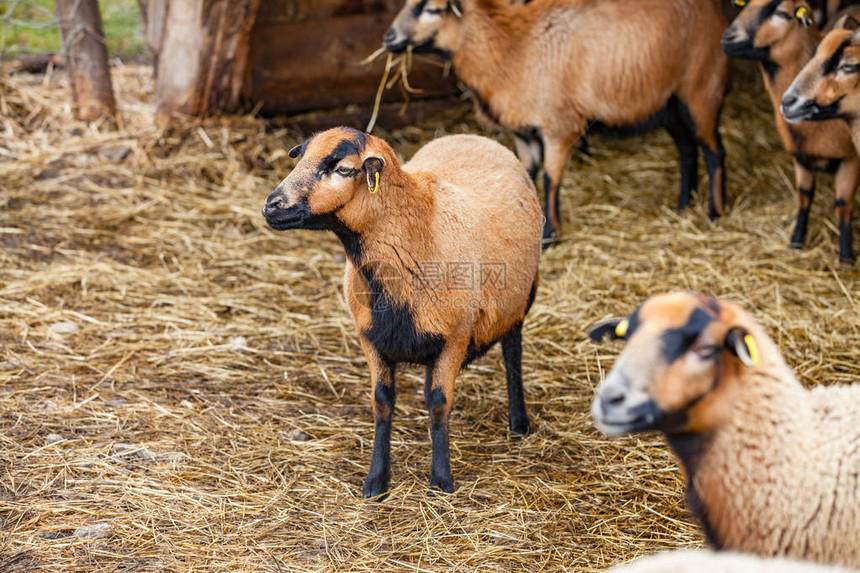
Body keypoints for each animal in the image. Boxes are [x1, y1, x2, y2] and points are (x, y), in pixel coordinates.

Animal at [264, 126, 544, 496]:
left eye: (343, 169)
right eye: (301, 159)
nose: (271, 205)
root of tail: (470, 135)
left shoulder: (456, 338)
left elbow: (439, 404)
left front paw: (441, 479)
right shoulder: (371, 337)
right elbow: (382, 402)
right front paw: (376, 480)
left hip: (519, 300)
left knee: (513, 354)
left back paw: (519, 423)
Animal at [386, 0, 728, 244]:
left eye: (432, 9)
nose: (388, 38)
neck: (511, 47)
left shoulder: (558, 126)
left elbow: (551, 179)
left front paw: (551, 235)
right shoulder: (523, 133)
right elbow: (525, 175)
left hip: (700, 89)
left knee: (713, 151)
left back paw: (715, 214)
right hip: (668, 103)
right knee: (687, 149)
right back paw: (683, 206)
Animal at [720, 1, 860, 260]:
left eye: (782, 13)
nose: (727, 38)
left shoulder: (851, 160)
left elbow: (842, 204)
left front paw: (846, 257)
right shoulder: (800, 155)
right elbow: (804, 196)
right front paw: (795, 242)